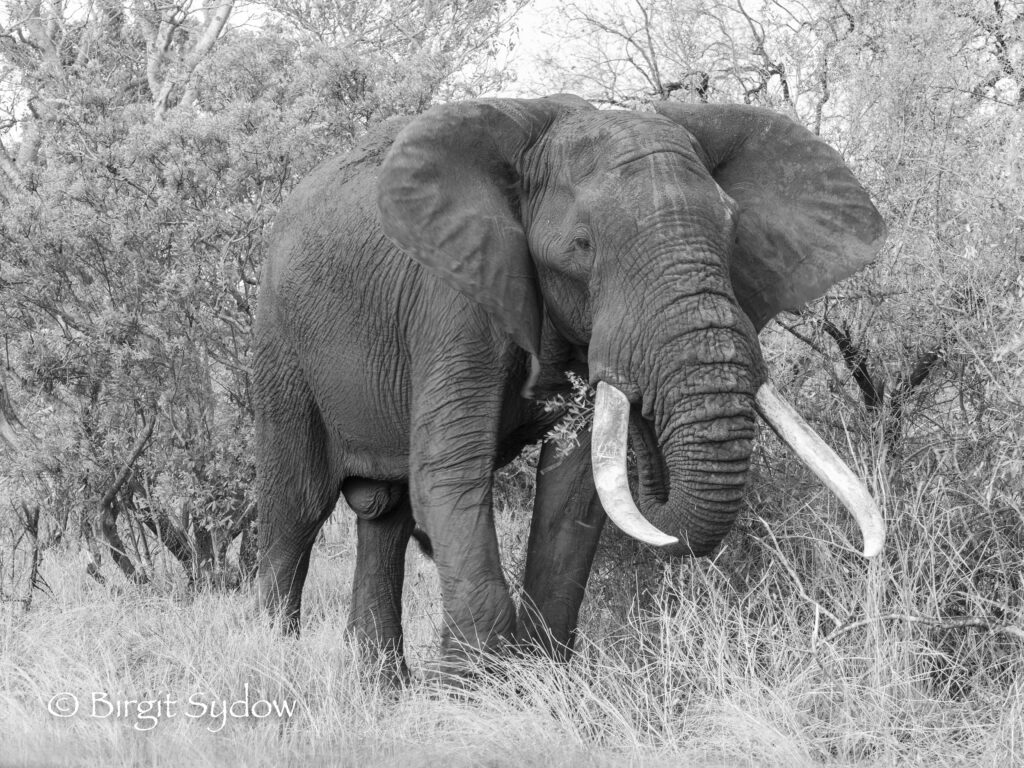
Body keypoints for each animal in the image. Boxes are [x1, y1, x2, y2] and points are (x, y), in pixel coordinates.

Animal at [253, 94, 887, 676]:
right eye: (582, 246)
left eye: (733, 234)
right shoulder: (453, 298)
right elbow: (450, 474)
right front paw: (471, 697)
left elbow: (574, 493)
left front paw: (538, 679)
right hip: (280, 343)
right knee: (295, 513)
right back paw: (273, 662)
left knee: (385, 518)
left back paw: (380, 688)